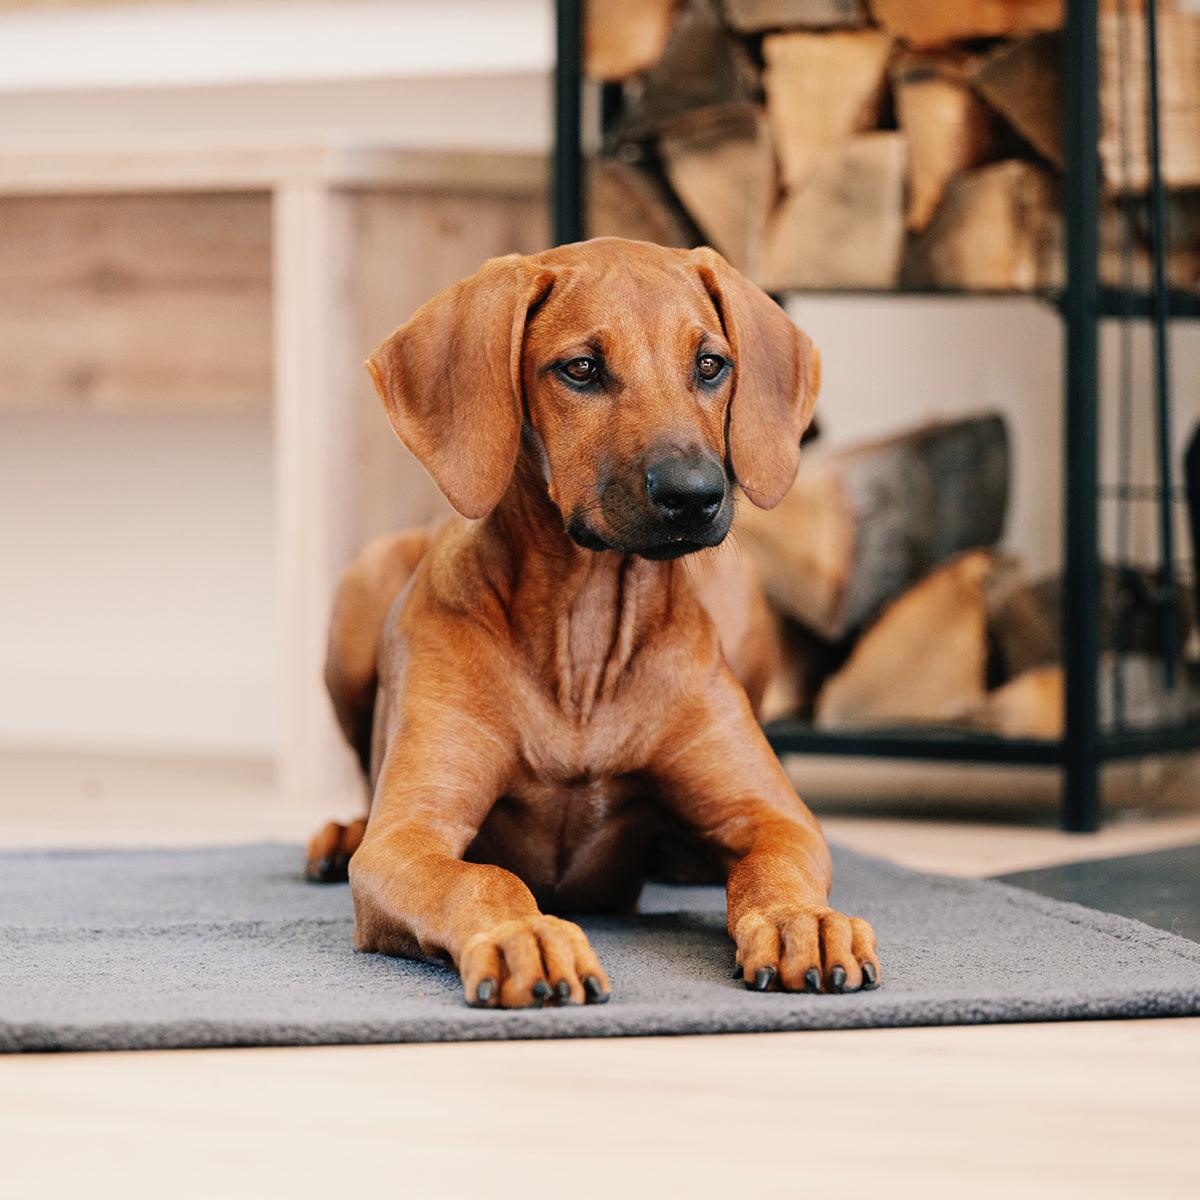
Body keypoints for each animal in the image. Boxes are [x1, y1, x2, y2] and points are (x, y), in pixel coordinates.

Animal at [304, 234, 878, 1003]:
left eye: (710, 364)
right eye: (581, 369)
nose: (695, 494)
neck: (585, 634)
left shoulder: (777, 818)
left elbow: (773, 864)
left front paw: (801, 919)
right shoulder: (408, 838)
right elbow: (482, 878)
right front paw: (526, 936)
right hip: (358, 596)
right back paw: (343, 834)